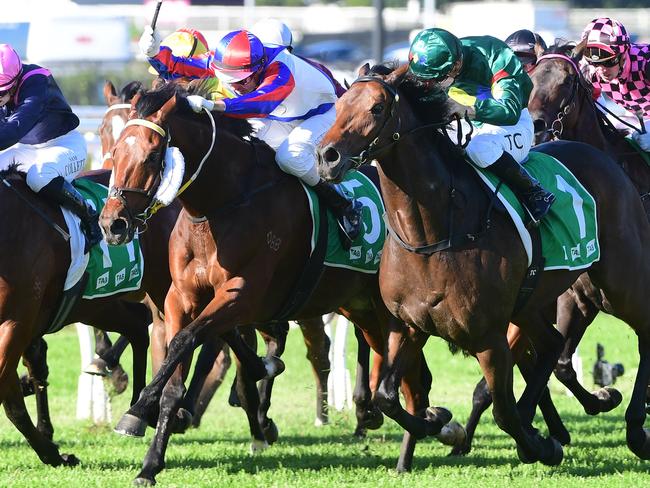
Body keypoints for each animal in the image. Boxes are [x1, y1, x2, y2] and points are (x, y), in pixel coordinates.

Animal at [97, 83, 450, 484]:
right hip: (362, 309)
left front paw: (138, 408)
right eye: (115, 148)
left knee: (408, 378)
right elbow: (180, 366)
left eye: (153, 155)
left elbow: (186, 342)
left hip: (388, 309)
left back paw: (424, 428)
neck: (222, 204)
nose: (113, 224)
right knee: (408, 375)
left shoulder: (243, 294)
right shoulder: (180, 298)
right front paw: (150, 461)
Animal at [316, 63, 648, 468]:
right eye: (338, 106)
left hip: (621, 281)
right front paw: (437, 420)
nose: (327, 156)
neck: (431, 236)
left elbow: (502, 411)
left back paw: (635, 429)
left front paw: (538, 444)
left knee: (643, 332)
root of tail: (607, 162)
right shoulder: (408, 324)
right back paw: (596, 403)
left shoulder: (490, 337)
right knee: (554, 345)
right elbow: (387, 396)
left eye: (377, 108)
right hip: (535, 300)